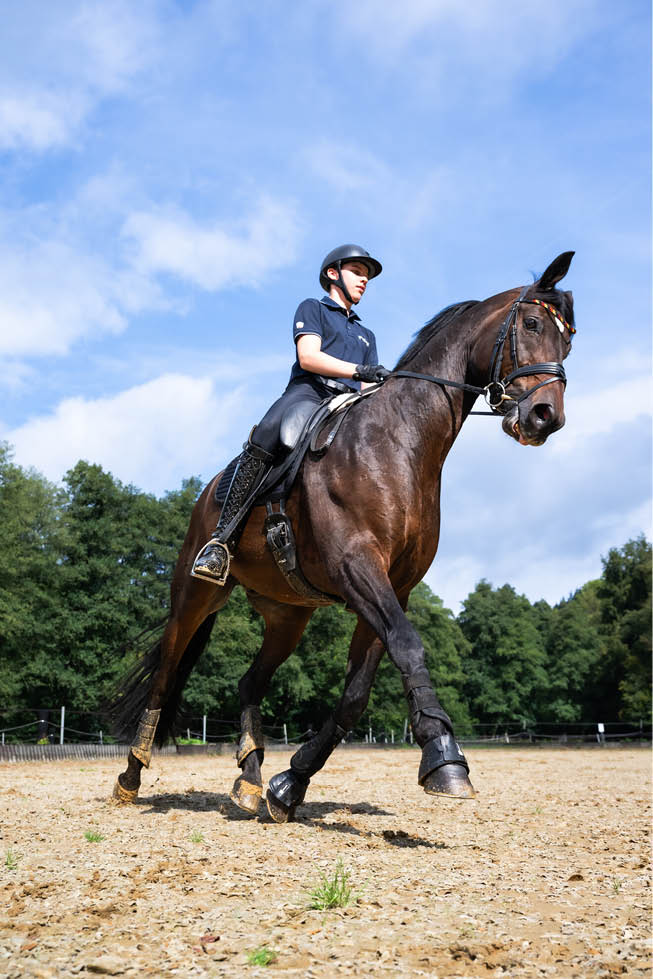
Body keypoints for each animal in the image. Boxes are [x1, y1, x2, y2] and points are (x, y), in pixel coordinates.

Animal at [111, 251, 576, 822]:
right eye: (531, 324)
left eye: (568, 341)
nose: (545, 417)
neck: (399, 442)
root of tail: (209, 492)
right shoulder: (358, 567)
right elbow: (409, 647)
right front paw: (445, 760)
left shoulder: (393, 588)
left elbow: (357, 692)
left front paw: (289, 785)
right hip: (195, 593)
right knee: (165, 674)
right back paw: (130, 777)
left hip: (287, 616)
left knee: (249, 682)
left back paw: (250, 779)